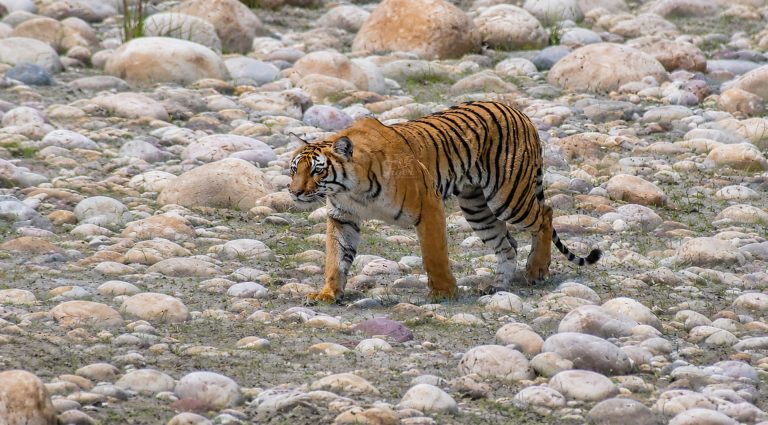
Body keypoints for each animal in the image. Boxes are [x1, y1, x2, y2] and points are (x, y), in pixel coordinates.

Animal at [288, 101, 601, 302]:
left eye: (317, 170)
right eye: (294, 169)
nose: (294, 192)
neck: (351, 188)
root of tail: (521, 113)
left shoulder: (428, 206)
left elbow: (434, 254)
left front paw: (443, 293)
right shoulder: (343, 218)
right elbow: (335, 258)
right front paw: (327, 294)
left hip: (509, 197)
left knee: (545, 214)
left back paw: (536, 270)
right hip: (477, 207)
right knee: (507, 244)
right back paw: (496, 286)